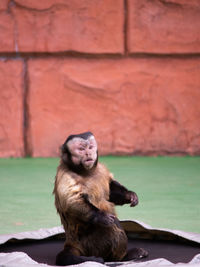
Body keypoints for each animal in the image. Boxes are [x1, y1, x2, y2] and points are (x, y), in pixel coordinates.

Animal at [53, 132, 148, 266]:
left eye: (90, 147)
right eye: (81, 149)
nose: (88, 153)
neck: (85, 172)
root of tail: (72, 243)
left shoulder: (102, 169)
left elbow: (110, 192)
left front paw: (129, 195)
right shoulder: (65, 175)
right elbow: (72, 202)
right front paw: (101, 216)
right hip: (90, 245)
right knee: (111, 224)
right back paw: (120, 258)